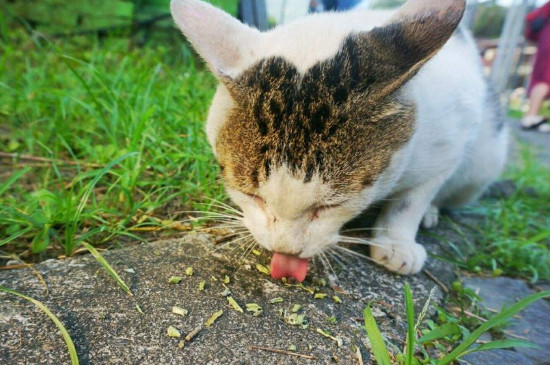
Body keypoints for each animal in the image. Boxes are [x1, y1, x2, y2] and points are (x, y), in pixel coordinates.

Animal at [170, 0, 512, 282]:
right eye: (252, 195)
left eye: (332, 205)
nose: (286, 249)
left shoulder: (451, 143)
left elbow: (412, 200)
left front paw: (396, 241)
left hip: (485, 160)